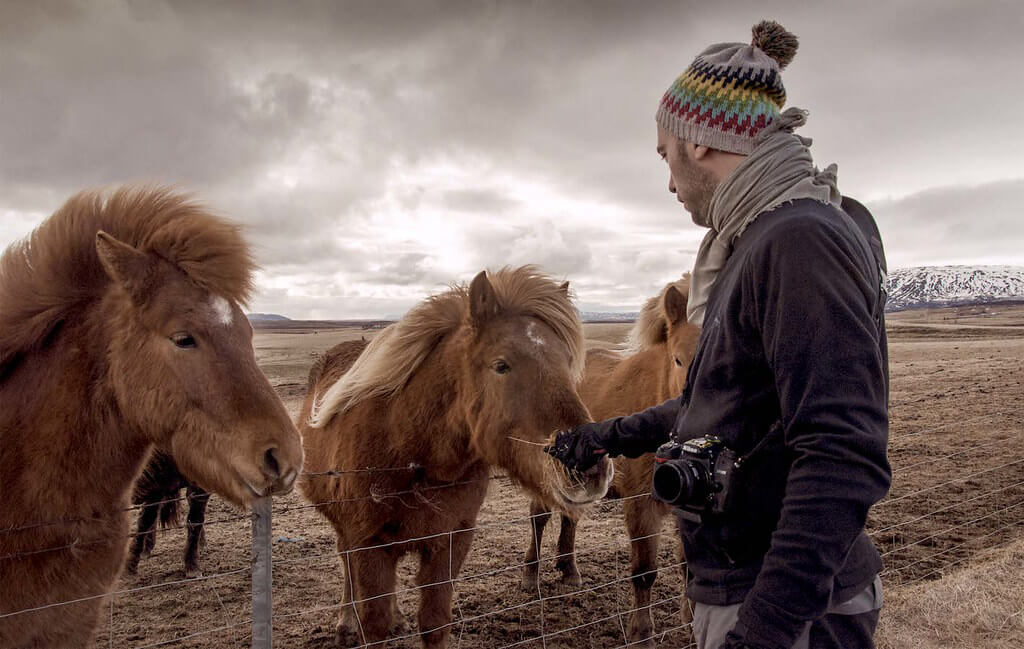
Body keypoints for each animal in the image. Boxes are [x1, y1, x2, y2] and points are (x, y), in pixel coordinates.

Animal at [299, 266, 610, 646]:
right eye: (501, 365)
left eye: (567, 362)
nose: (590, 464)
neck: (411, 452)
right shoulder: (368, 546)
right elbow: (374, 624)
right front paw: (360, 622)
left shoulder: (451, 542)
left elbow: (434, 622)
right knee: (344, 560)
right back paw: (346, 621)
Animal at [524, 276, 700, 642]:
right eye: (678, 360)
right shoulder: (642, 505)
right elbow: (645, 572)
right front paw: (641, 633)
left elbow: (690, 571)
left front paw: (692, 628)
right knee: (539, 517)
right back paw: (531, 576)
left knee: (570, 515)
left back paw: (569, 569)